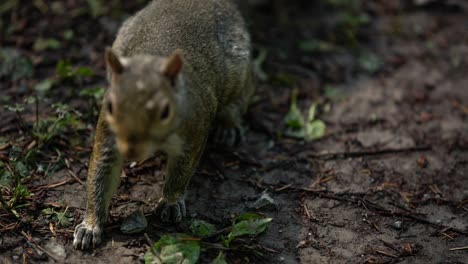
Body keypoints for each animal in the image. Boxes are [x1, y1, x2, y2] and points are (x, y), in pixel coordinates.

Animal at [73, 0, 254, 250]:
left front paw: (171, 201)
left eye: (165, 110)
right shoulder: (107, 135)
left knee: (239, 100)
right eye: (110, 106)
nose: (131, 151)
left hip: (238, 72)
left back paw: (228, 127)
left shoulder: (193, 132)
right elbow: (100, 175)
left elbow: (181, 171)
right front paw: (90, 225)